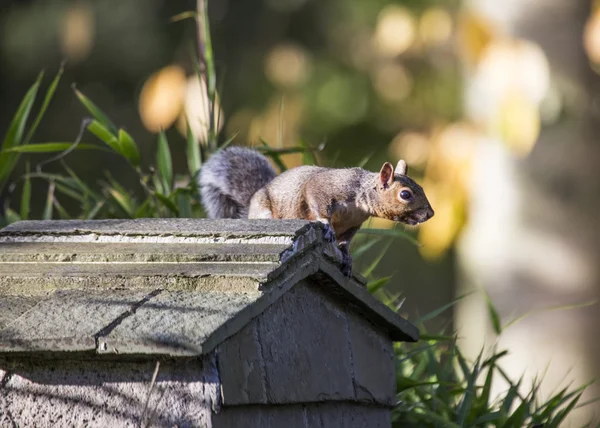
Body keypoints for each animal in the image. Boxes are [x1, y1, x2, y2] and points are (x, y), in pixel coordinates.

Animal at [199, 145, 434, 276]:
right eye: (405, 194)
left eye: (422, 188)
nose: (430, 214)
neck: (361, 199)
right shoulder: (325, 188)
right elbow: (317, 202)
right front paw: (326, 225)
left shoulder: (353, 224)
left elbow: (346, 241)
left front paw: (346, 255)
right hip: (265, 211)